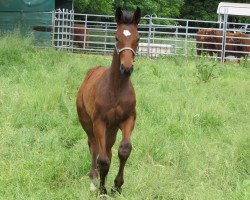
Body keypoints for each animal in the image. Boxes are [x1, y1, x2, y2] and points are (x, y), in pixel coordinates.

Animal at [75, 7, 142, 194]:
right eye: (116, 37)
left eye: (138, 38)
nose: (127, 68)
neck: (116, 89)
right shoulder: (99, 122)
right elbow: (103, 159)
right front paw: (102, 189)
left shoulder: (128, 119)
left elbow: (124, 150)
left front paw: (117, 186)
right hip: (88, 124)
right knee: (94, 147)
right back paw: (93, 179)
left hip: (112, 129)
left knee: (109, 149)